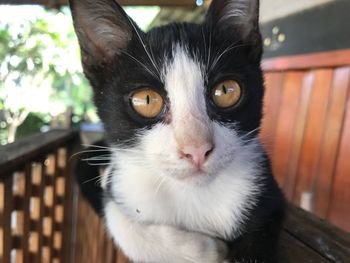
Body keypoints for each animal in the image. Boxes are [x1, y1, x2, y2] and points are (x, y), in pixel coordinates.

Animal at [70, 0, 284, 262]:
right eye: (146, 100)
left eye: (226, 91)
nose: (197, 149)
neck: (191, 195)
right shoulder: (118, 185)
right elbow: (115, 215)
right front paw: (205, 250)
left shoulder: (267, 191)